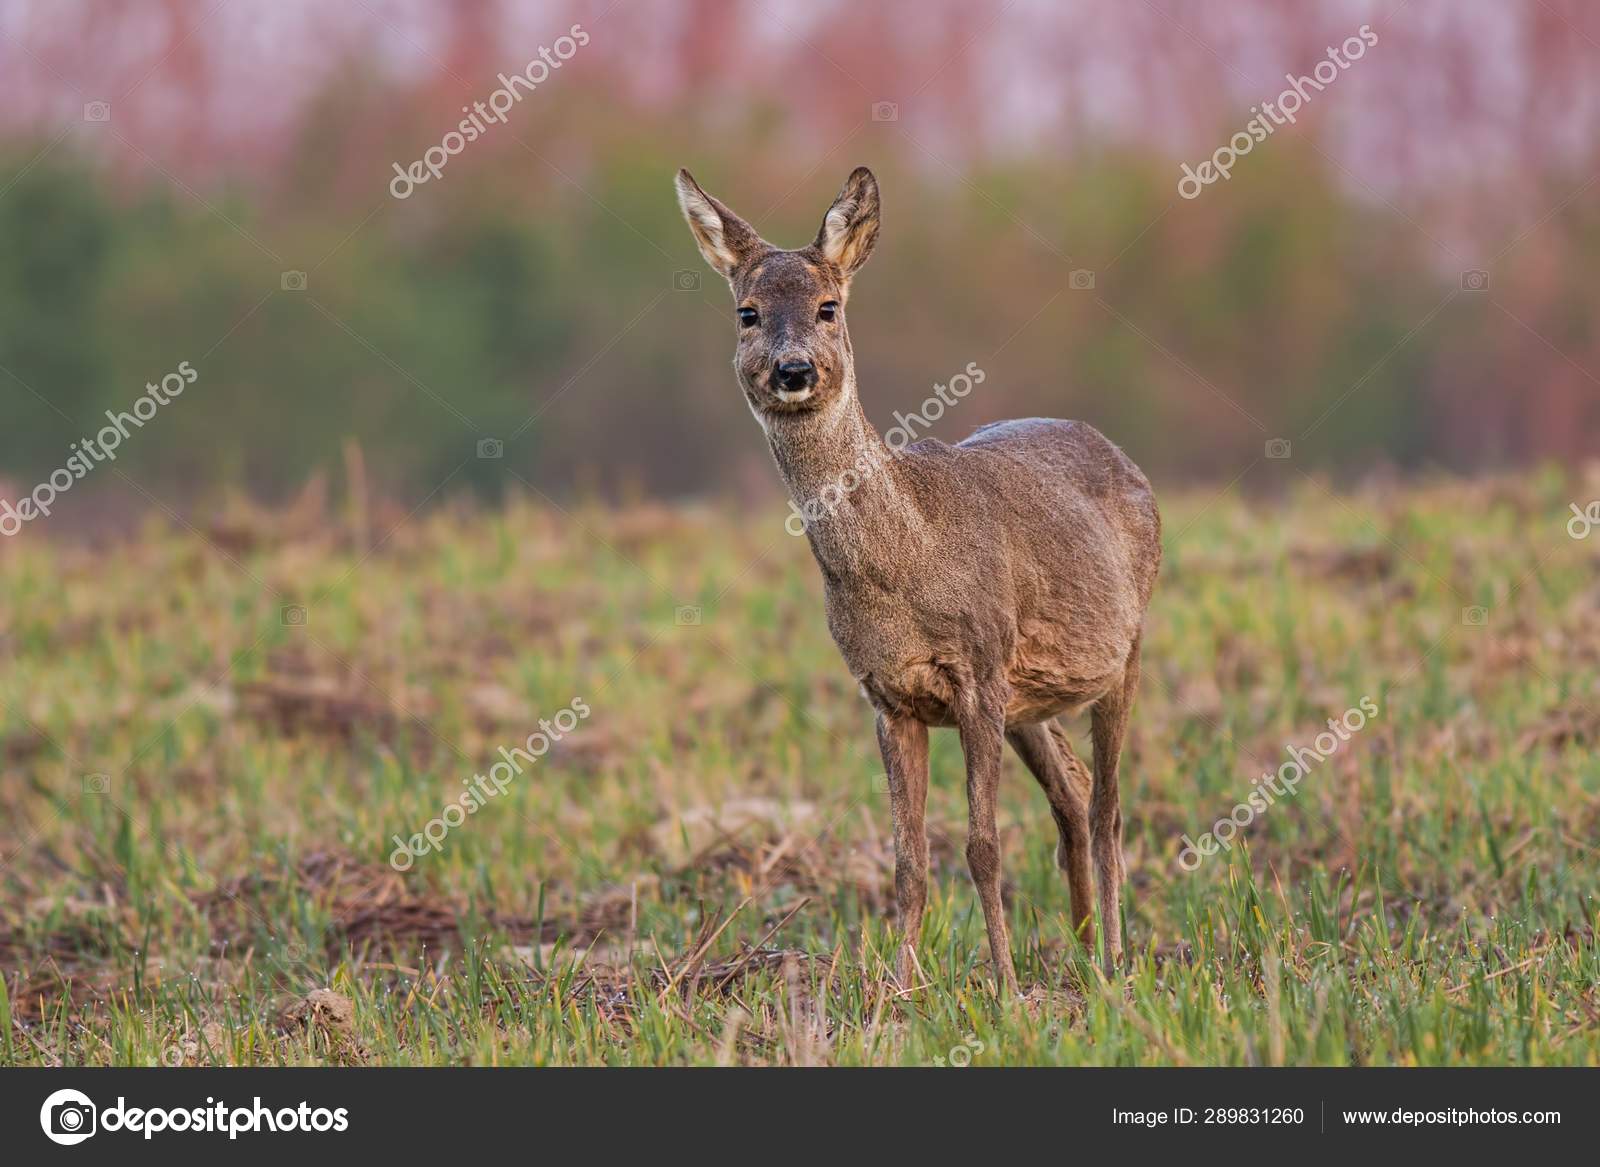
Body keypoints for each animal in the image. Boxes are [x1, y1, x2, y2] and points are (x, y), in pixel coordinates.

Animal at [678, 164, 1164, 986]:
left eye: (829, 306)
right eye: (747, 312)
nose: (793, 370)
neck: (906, 558)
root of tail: (1127, 459)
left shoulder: (980, 669)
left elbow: (982, 845)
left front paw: (1003, 986)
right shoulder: (887, 695)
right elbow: (908, 861)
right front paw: (901, 989)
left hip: (1123, 652)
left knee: (1109, 807)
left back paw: (1113, 959)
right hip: (1033, 699)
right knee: (1072, 795)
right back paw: (1079, 949)